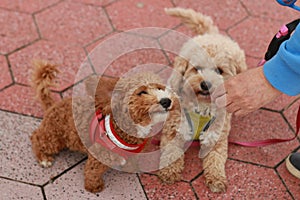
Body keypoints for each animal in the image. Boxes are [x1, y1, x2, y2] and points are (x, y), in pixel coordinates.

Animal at [157, 7, 246, 192]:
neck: (202, 107)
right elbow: (171, 152)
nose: (205, 84)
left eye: (219, 71)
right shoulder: (173, 130)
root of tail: (212, 34)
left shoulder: (217, 139)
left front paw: (217, 179)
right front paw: (169, 172)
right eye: (196, 69)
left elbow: (215, 160)